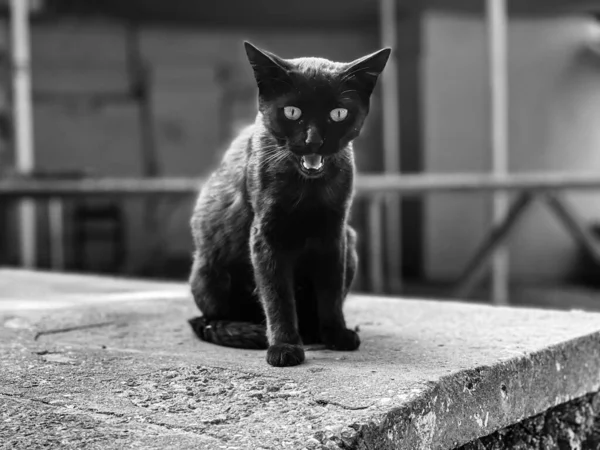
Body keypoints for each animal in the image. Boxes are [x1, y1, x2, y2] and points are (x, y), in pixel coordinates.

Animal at [190, 40, 392, 368]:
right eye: (292, 111)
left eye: (338, 113)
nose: (313, 140)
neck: (307, 189)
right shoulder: (266, 237)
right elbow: (278, 296)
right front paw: (284, 346)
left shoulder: (333, 234)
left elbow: (330, 290)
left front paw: (335, 333)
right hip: (209, 271)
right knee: (207, 320)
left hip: (350, 241)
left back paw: (313, 333)